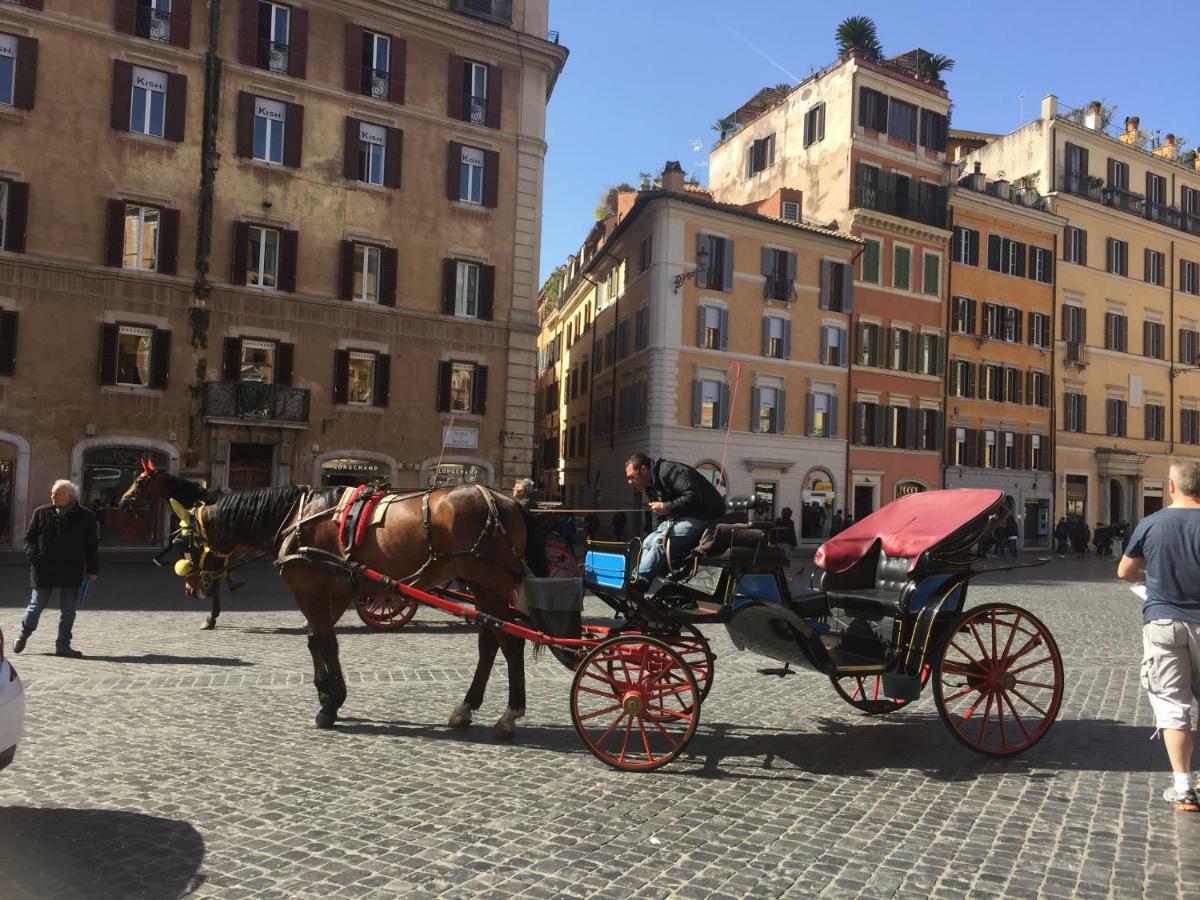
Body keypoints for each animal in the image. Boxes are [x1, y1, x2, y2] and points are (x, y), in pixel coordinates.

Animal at [169, 487, 544, 739]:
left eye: (187, 542)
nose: (191, 588)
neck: (297, 521)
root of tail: (508, 501)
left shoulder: (309, 591)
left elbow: (327, 643)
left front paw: (330, 704)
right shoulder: (335, 593)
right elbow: (315, 641)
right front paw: (325, 691)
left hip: (490, 584)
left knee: (512, 643)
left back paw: (510, 715)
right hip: (481, 588)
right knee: (489, 644)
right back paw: (466, 708)